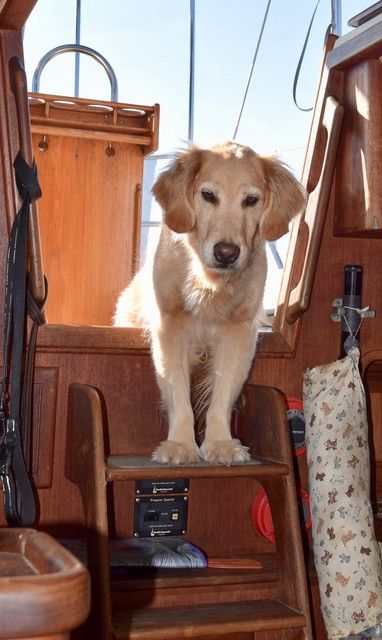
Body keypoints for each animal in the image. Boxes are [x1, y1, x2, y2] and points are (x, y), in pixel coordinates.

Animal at [112, 141, 304, 464]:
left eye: (251, 200)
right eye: (208, 195)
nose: (226, 252)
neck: (211, 281)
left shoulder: (239, 332)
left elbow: (223, 394)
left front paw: (220, 443)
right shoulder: (170, 326)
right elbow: (178, 391)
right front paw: (180, 444)